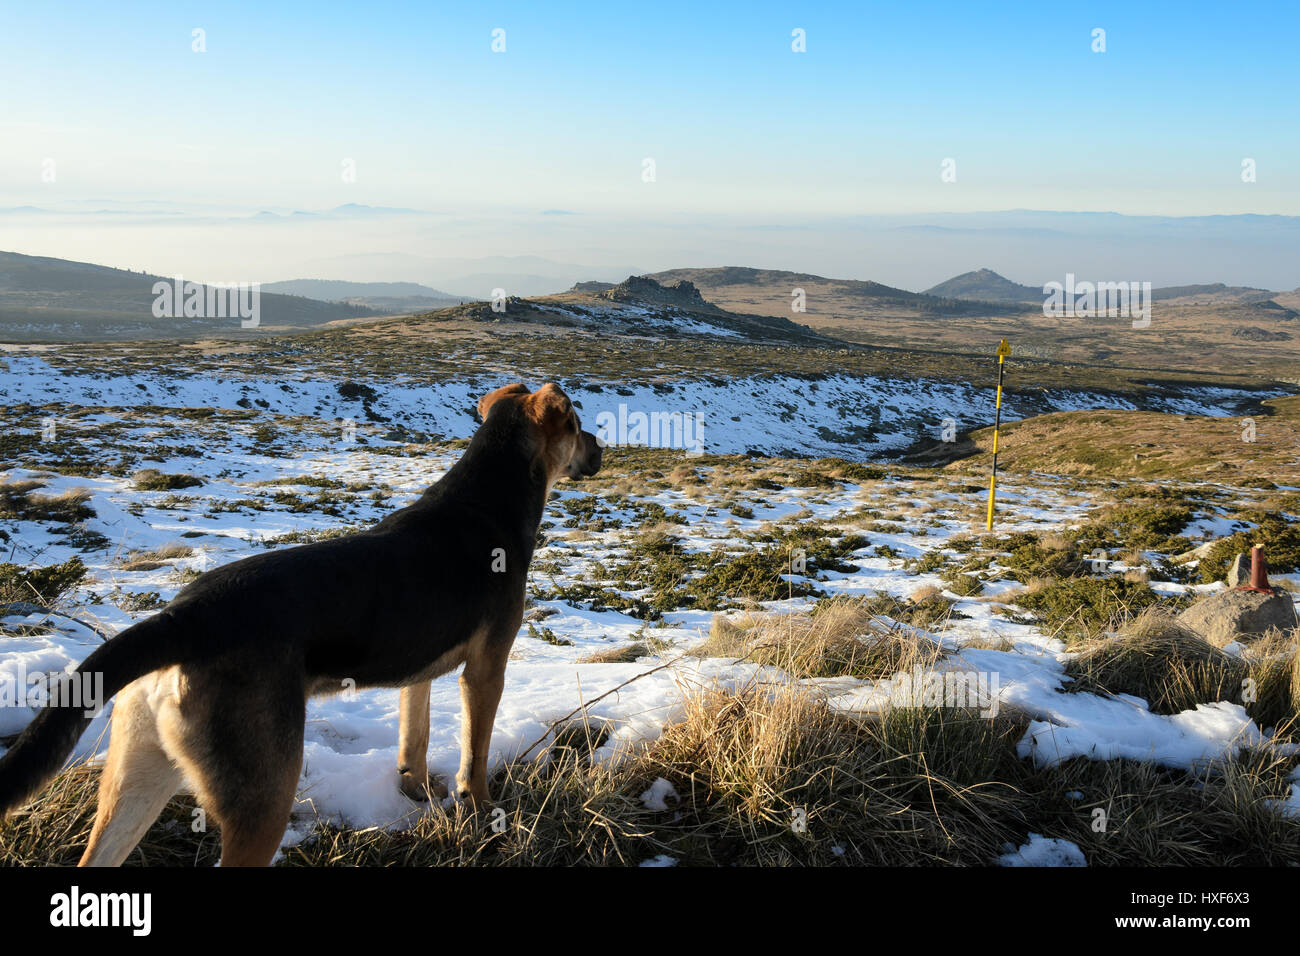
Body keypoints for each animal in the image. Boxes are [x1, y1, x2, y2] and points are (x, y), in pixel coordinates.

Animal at [0, 382, 598, 868]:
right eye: (576, 424)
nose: (601, 447)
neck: (489, 494)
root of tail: (178, 618)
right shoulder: (486, 666)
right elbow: (475, 761)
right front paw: (483, 817)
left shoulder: (420, 673)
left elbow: (415, 739)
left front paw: (415, 795)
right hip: (261, 796)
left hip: (138, 777)